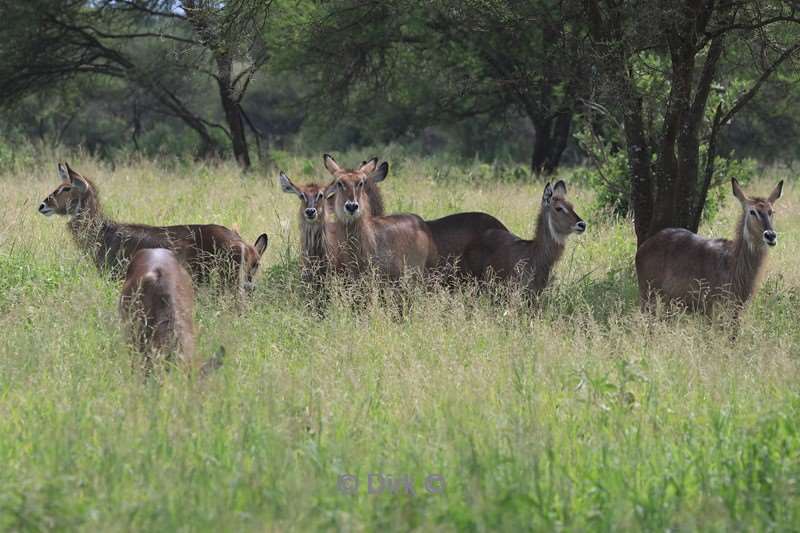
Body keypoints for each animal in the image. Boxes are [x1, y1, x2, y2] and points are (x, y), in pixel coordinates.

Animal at [636, 177, 780, 314]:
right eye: (752, 211)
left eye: (771, 211)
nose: (770, 235)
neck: (732, 263)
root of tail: (644, 246)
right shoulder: (712, 307)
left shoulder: (737, 309)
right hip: (647, 295)